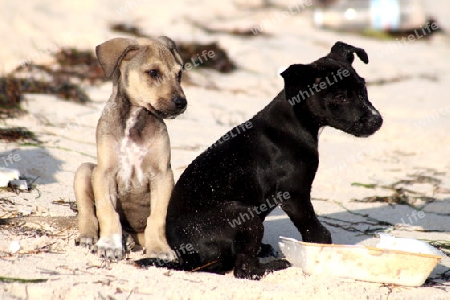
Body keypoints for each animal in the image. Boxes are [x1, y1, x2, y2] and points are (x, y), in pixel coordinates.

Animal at [74, 36, 186, 258]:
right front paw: (110, 244)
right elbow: (107, 213)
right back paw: (89, 236)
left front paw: (159, 248)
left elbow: (158, 218)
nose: (182, 103)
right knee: (88, 213)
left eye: (179, 74)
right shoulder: (105, 173)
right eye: (153, 72)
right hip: (84, 171)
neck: (134, 121)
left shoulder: (163, 175)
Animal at [139, 41, 382, 278]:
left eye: (363, 90)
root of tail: (188, 258)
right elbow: (316, 230)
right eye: (340, 98)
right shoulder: (294, 194)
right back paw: (278, 265)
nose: (377, 121)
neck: (294, 123)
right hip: (244, 216)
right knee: (245, 269)